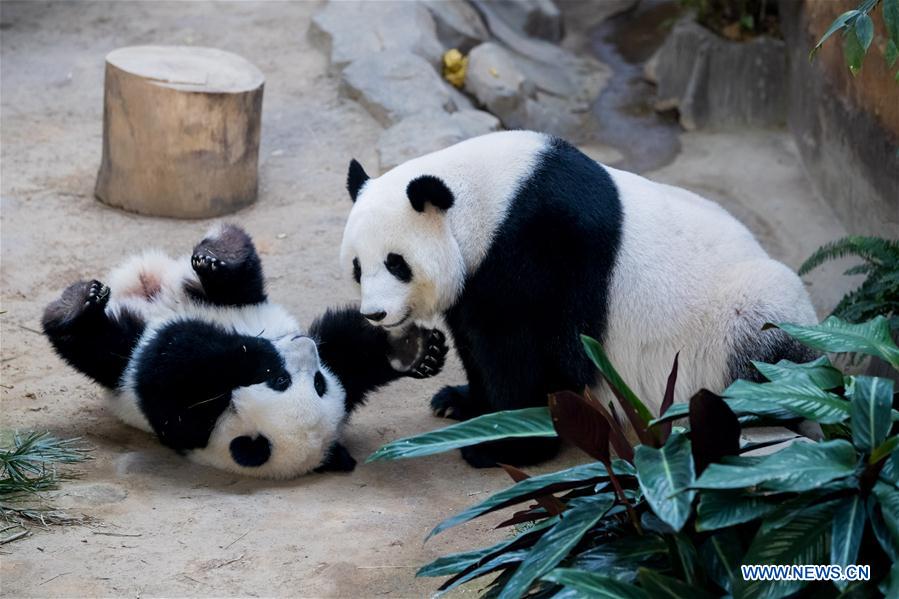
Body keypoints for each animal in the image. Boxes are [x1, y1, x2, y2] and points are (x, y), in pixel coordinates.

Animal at [42, 224, 448, 479]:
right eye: (283, 380)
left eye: (317, 382)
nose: (304, 345)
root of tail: (148, 287)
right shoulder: (193, 426)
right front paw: (416, 350)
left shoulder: (190, 423)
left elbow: (169, 357)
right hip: (227, 300)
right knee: (236, 284)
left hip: (124, 354)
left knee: (101, 347)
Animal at [340, 130, 817, 468]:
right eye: (358, 267)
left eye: (397, 263)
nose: (376, 314)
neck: (488, 199)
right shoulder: (478, 280)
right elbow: (478, 345)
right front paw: (461, 402)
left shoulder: (540, 250)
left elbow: (524, 356)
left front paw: (502, 447)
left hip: (747, 320)